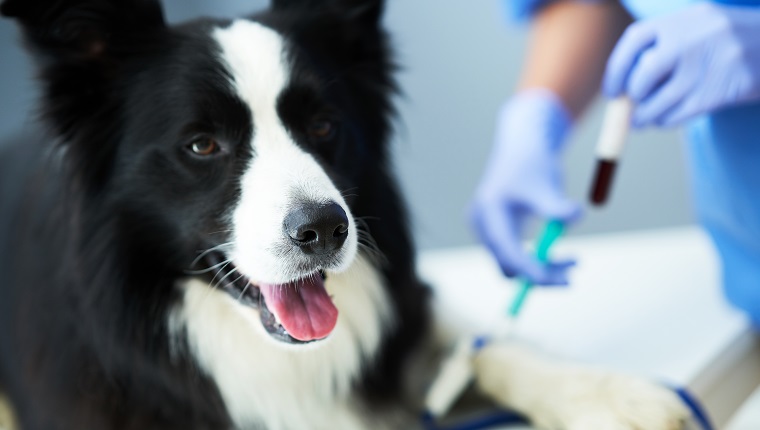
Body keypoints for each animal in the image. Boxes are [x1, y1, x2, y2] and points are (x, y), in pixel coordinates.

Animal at [0, 0, 688, 430]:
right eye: (201, 145)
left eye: (324, 125)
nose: (325, 230)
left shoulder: (407, 307)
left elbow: (476, 345)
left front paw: (616, 397)